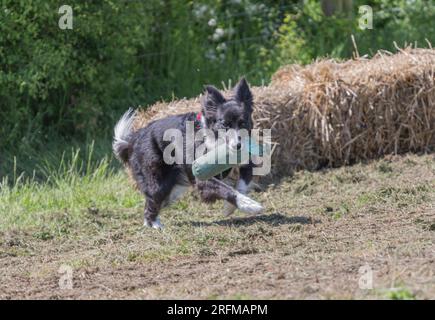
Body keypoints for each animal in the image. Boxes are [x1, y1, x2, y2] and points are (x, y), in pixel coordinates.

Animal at [113, 78, 262, 229]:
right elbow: (227, 189)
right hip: (157, 178)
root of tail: (133, 139)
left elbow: (242, 184)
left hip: (174, 186)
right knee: (152, 200)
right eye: (225, 125)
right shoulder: (202, 177)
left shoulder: (246, 164)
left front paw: (229, 208)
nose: (238, 146)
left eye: (243, 123)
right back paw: (155, 225)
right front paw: (251, 205)